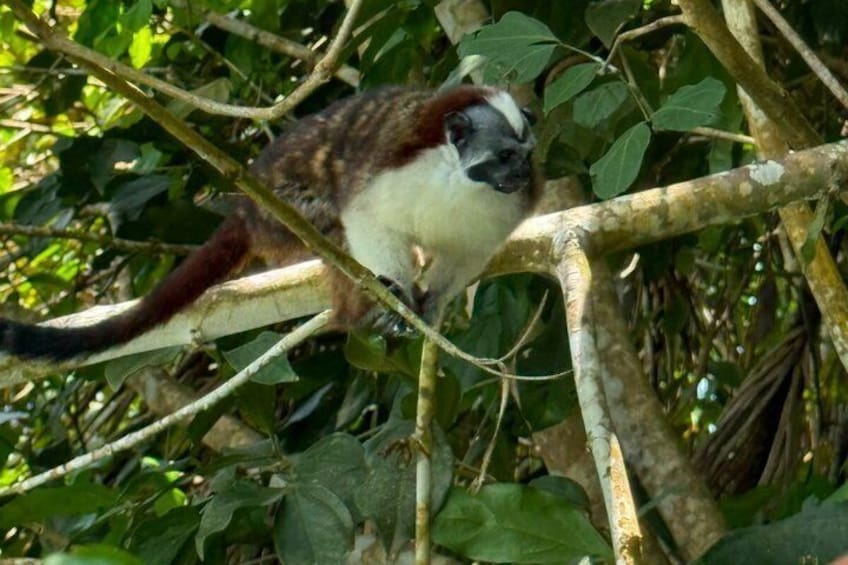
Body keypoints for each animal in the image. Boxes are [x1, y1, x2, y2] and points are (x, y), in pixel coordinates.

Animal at [0, 85, 541, 361]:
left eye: (525, 157)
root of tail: (247, 203)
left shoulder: (499, 210)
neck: (457, 178)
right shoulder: (402, 170)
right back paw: (356, 311)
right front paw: (398, 292)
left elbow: (468, 253)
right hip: (281, 213)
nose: (521, 175)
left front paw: (430, 305)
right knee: (330, 230)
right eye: (505, 156)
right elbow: (364, 215)